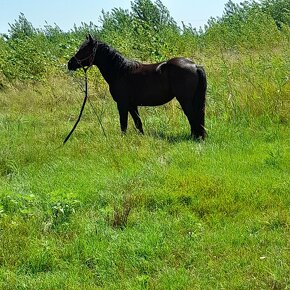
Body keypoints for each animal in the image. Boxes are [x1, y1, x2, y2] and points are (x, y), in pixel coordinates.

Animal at [68, 35, 207, 139]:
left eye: (85, 50)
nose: (70, 64)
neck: (120, 71)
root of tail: (194, 65)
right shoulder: (132, 105)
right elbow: (138, 123)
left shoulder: (122, 104)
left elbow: (123, 123)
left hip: (185, 100)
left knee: (192, 116)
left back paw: (195, 137)